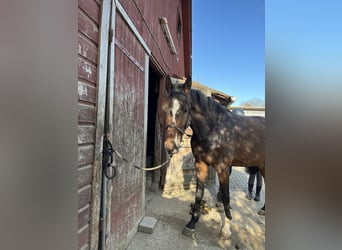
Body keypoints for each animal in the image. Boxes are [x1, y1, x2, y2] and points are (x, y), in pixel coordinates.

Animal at [162, 75, 264, 239]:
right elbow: (199, 194)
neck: (214, 130)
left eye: (185, 109)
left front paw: (226, 228)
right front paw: (191, 224)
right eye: (165, 108)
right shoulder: (200, 164)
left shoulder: (223, 169)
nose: (171, 146)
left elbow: (226, 196)